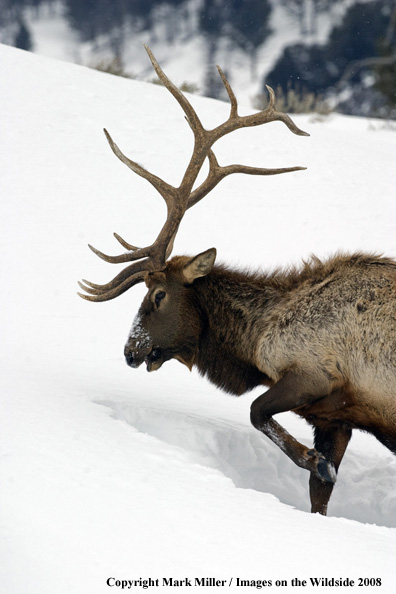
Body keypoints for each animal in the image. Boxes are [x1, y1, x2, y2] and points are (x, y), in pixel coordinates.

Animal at [78, 45, 396, 512]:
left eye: (158, 295)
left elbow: (257, 412)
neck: (253, 344)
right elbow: (319, 497)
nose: (130, 351)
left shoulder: (315, 371)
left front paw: (314, 460)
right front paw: (320, 469)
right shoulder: (335, 416)